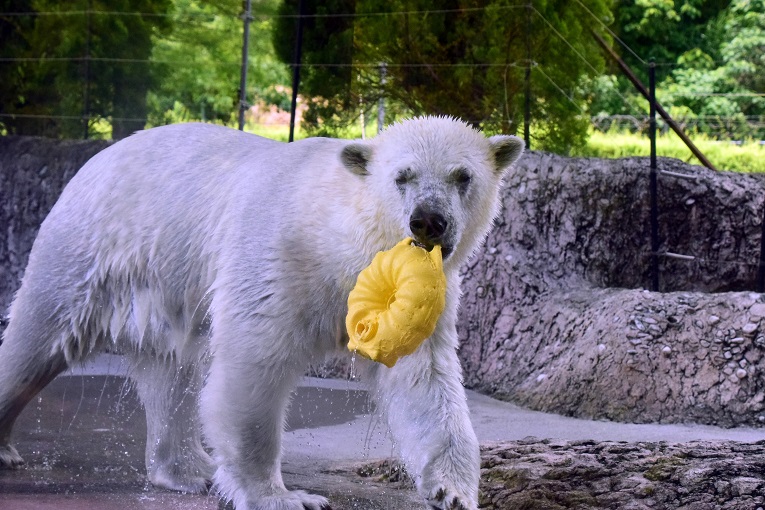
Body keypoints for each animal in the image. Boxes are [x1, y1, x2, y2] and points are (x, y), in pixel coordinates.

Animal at [0, 116, 524, 510]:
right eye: (403, 177)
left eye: (463, 176)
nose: (428, 221)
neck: (343, 235)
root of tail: (96, 159)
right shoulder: (280, 258)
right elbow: (255, 363)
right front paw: (285, 497)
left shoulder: (417, 292)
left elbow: (423, 380)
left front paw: (453, 492)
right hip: (93, 250)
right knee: (37, 337)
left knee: (170, 371)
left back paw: (191, 470)